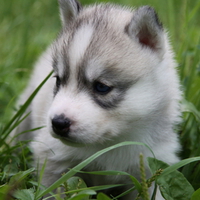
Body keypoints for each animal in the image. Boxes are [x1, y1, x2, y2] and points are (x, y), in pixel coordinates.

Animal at [13, 0, 181, 199]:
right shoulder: (52, 160)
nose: (58, 123)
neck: (112, 143)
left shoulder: (151, 168)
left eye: (101, 87)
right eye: (59, 80)